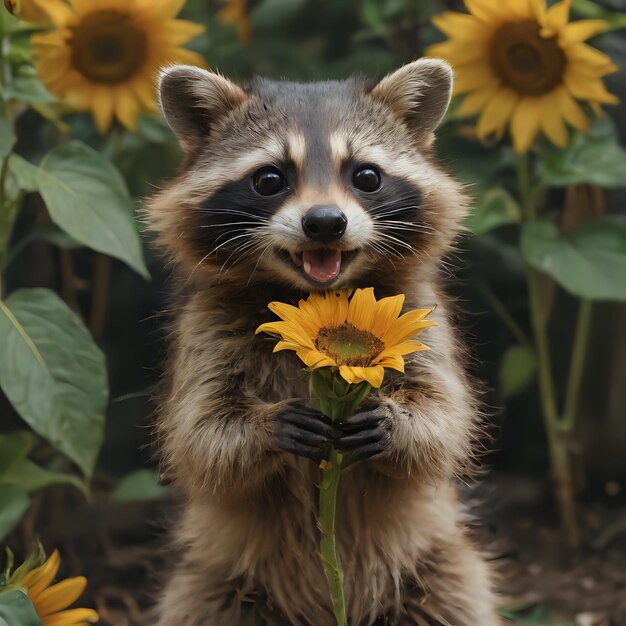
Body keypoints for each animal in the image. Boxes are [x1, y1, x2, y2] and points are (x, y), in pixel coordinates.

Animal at [145, 59, 498, 624]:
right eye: (269, 179)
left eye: (367, 176)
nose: (326, 223)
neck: (313, 296)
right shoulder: (205, 327)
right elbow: (201, 433)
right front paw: (263, 426)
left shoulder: (422, 318)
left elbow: (443, 419)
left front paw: (399, 421)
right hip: (217, 582)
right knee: (201, 600)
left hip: (435, 563)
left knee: (457, 593)